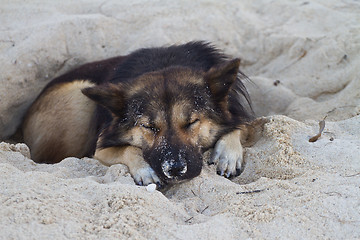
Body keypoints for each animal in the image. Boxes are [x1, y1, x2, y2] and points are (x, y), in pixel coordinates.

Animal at [23, 41, 253, 186]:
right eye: (149, 127)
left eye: (191, 122)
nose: (175, 169)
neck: (164, 63)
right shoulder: (99, 148)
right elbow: (128, 149)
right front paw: (145, 169)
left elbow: (240, 124)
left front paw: (227, 154)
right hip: (79, 98)